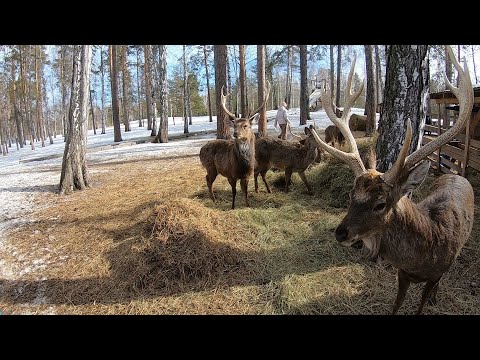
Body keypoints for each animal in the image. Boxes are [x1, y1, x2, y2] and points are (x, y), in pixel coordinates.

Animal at [200, 80, 272, 210]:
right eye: (234, 125)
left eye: (245, 125)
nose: (235, 133)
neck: (242, 165)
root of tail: (200, 150)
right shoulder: (231, 175)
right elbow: (233, 192)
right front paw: (233, 207)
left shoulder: (247, 175)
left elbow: (245, 192)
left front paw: (248, 205)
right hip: (210, 166)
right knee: (208, 179)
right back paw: (213, 199)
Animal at [310, 45, 474, 316]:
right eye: (350, 195)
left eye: (380, 204)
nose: (341, 233)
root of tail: (455, 174)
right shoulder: (402, 274)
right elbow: (396, 304)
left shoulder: (436, 273)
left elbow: (421, 302)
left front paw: (428, 301)